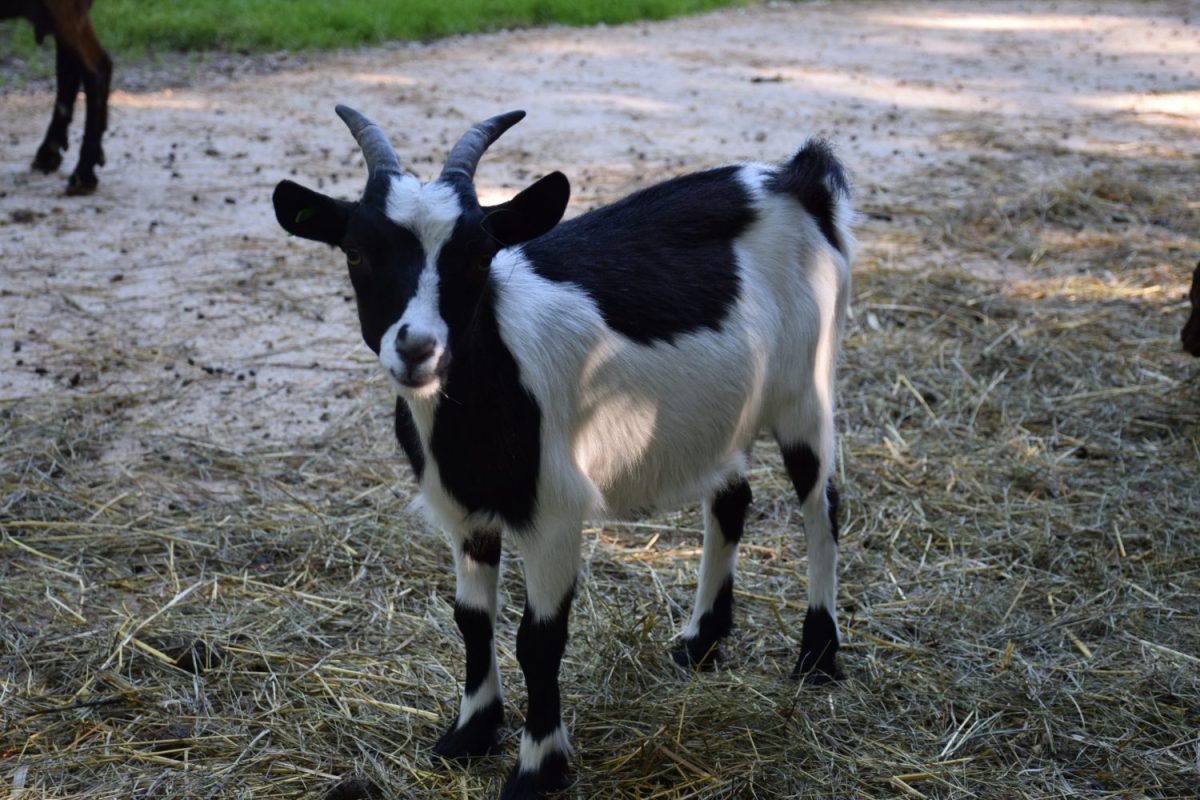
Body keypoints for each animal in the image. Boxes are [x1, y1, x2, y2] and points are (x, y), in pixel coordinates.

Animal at [272, 107, 854, 800]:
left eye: (478, 255)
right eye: (357, 252)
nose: (416, 349)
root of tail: (796, 178)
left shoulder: (552, 511)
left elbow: (539, 639)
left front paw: (536, 768)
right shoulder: (466, 510)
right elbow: (472, 618)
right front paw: (470, 734)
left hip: (806, 386)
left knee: (821, 503)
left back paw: (817, 656)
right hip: (725, 410)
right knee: (733, 497)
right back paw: (701, 643)